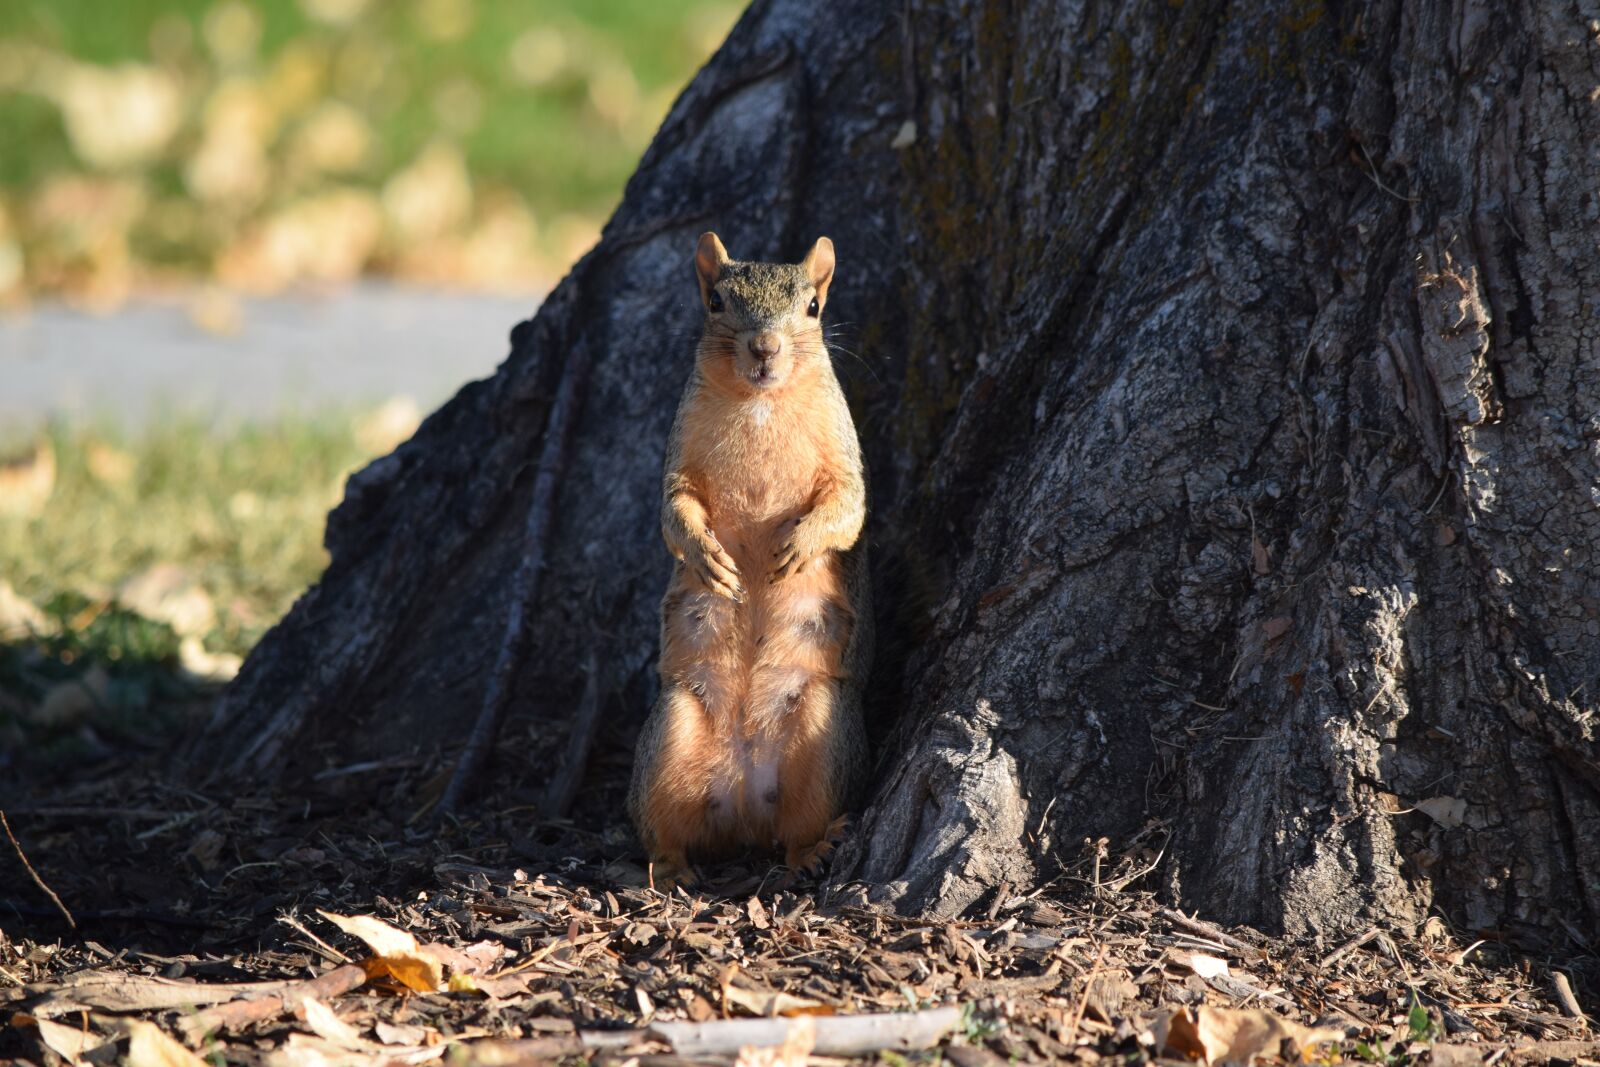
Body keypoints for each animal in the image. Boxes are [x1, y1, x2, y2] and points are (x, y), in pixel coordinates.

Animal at [627, 232, 873, 888]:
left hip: (823, 735)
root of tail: (742, 794)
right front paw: (706, 556)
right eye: (715, 301)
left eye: (813, 306)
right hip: (671, 730)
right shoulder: (678, 458)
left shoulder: (844, 454)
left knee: (798, 829)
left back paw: (812, 851)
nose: (764, 347)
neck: (760, 401)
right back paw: (672, 867)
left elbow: (848, 508)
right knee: (659, 828)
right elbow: (673, 512)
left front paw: (799, 546)